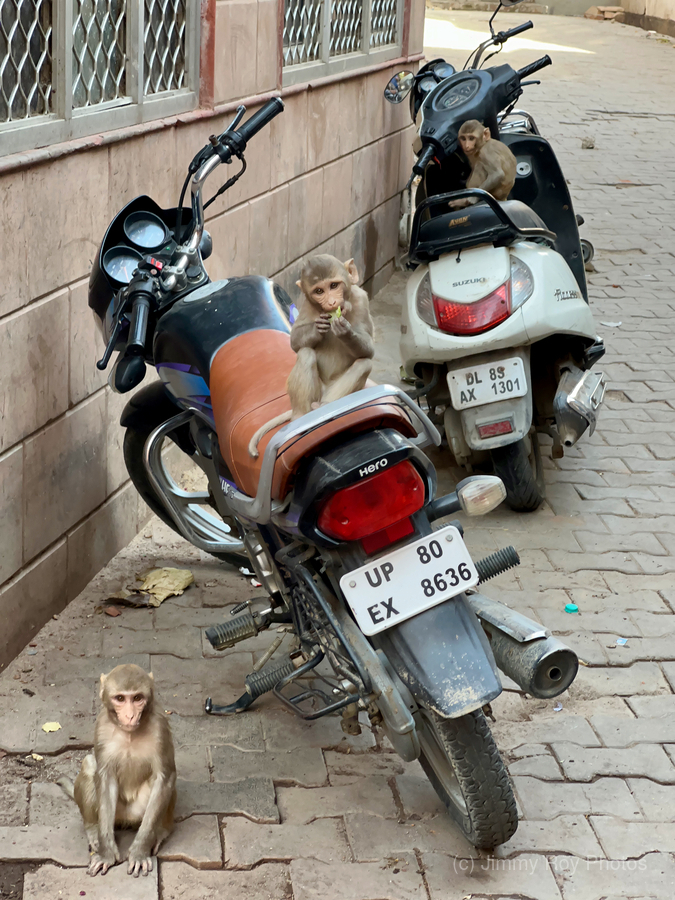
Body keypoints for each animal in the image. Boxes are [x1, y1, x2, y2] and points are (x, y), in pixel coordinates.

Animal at [57, 664, 176, 878]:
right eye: (120, 698)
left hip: (138, 812)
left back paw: (161, 833)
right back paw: (93, 829)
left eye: (137, 698)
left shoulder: (160, 726)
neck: (129, 733)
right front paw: (107, 854)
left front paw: (139, 852)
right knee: (89, 764)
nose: (130, 715)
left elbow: (164, 777)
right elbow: (104, 777)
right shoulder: (101, 727)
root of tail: (127, 819)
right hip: (117, 814)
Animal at [248, 255, 375, 458]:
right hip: (314, 391)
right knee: (306, 354)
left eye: (334, 286)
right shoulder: (306, 305)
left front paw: (345, 329)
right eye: (319, 291)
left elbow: (369, 351)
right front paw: (318, 327)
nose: (331, 303)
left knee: (364, 364)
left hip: (333, 392)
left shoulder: (362, 299)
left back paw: (324, 407)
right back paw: (301, 417)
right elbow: (295, 343)